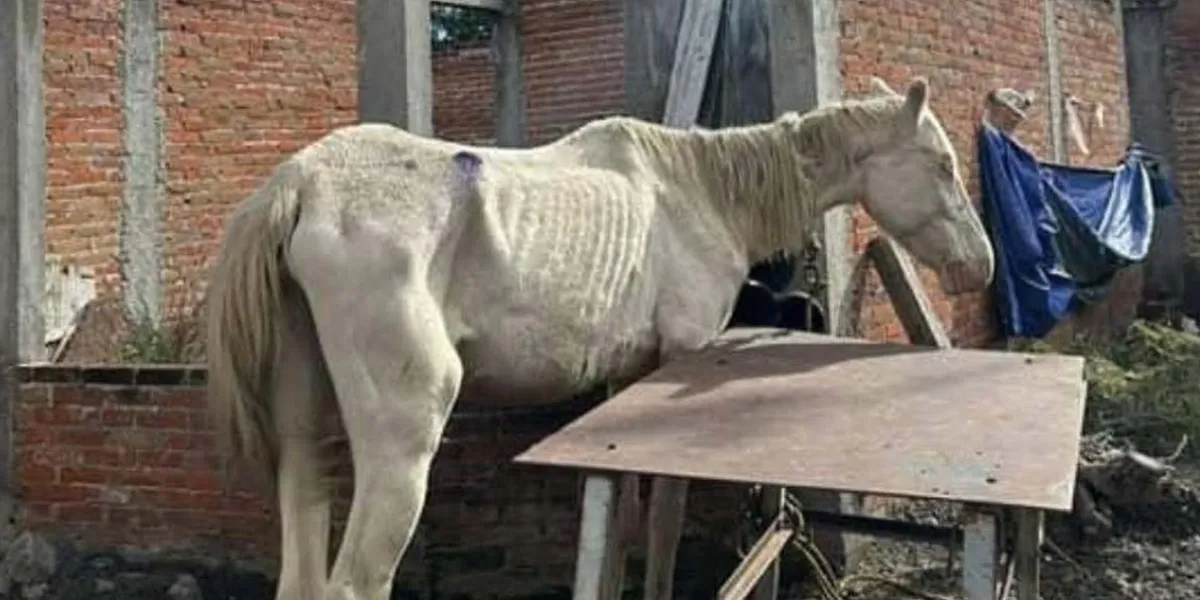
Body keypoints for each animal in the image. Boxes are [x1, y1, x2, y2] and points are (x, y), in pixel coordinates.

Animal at [205, 75, 994, 600]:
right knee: (355, 581)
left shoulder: (626, 384)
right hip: (403, 437)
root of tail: (301, 183)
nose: (979, 265)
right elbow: (665, 526)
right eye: (942, 166)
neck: (700, 192)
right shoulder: (680, 357)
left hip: (304, 433)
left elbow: (623, 530)